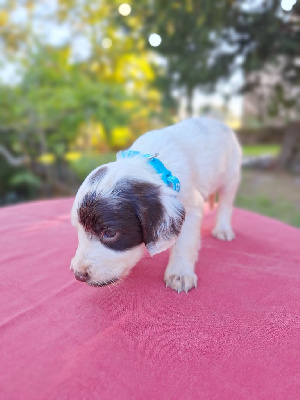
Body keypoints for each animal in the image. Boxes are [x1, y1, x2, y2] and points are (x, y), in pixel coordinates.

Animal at [69, 117, 241, 292]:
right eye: (78, 230)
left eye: (109, 233)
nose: (79, 275)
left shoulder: (192, 205)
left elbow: (184, 242)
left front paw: (180, 273)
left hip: (231, 177)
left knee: (225, 204)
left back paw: (223, 229)